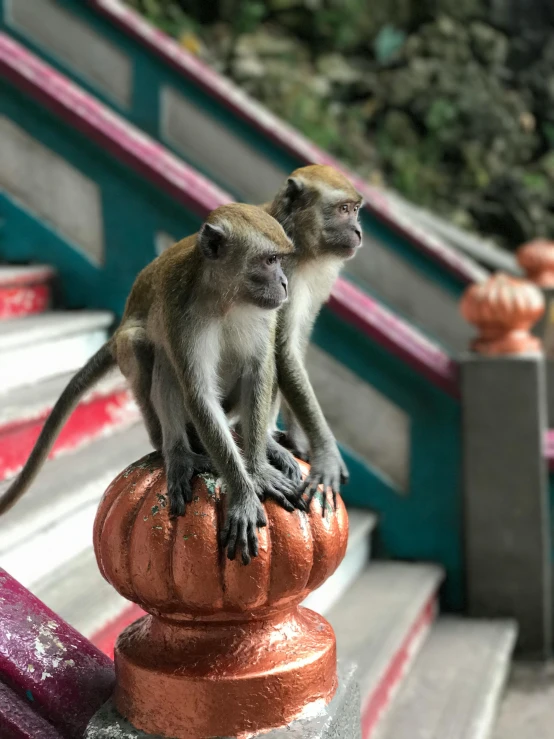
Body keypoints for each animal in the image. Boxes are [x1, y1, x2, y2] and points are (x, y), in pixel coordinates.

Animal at [0, 205, 298, 564]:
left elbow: (258, 372)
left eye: (280, 260)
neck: (226, 298)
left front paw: (257, 469)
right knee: (149, 348)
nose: (284, 283)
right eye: (270, 260)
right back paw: (175, 450)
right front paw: (243, 493)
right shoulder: (180, 312)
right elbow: (198, 392)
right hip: (133, 346)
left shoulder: (264, 314)